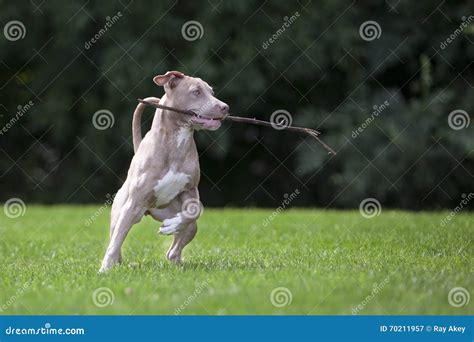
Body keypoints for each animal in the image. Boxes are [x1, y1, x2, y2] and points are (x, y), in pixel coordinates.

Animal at [99, 70, 229, 272]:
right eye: (196, 92)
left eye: (211, 91)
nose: (225, 107)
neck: (176, 143)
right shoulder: (133, 204)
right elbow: (116, 240)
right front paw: (105, 269)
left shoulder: (190, 189)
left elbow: (195, 210)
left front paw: (173, 225)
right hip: (123, 211)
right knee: (116, 236)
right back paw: (117, 263)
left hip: (179, 217)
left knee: (181, 239)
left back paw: (176, 256)